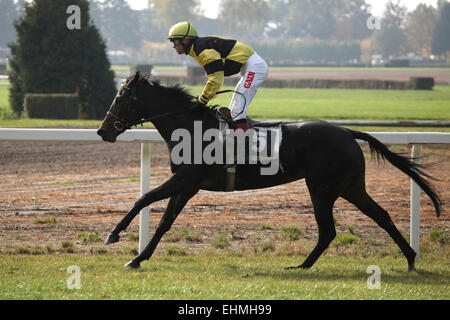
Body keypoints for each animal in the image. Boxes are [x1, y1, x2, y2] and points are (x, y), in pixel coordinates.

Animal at [96, 72, 442, 270]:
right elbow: (164, 222)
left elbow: (142, 200)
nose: (102, 130)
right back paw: (410, 259)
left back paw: (302, 266)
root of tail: (347, 131)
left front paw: (114, 235)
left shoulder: (184, 178)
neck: (191, 127)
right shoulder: (187, 185)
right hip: (351, 186)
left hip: (322, 188)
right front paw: (138, 258)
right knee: (381, 215)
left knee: (329, 230)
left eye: (121, 97)